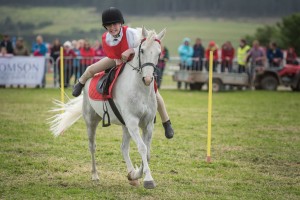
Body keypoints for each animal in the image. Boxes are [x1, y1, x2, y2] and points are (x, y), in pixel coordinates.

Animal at [49, 27, 166, 189]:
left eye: (159, 53)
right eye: (142, 50)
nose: (148, 79)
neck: (140, 89)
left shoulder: (147, 124)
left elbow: (147, 152)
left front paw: (137, 174)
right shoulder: (132, 122)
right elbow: (142, 148)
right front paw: (148, 179)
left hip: (124, 126)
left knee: (124, 148)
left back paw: (132, 175)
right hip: (91, 121)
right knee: (92, 146)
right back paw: (95, 175)